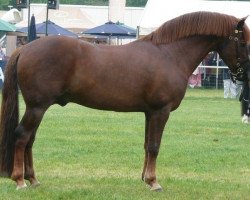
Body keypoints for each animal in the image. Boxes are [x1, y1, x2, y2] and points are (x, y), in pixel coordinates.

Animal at [0, 11, 250, 191]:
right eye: (244, 43)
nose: (244, 74)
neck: (170, 54)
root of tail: (25, 48)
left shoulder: (150, 113)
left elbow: (148, 145)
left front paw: (145, 179)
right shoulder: (160, 111)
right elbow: (155, 146)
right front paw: (153, 182)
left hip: (37, 108)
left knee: (30, 140)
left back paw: (33, 179)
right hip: (37, 107)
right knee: (22, 136)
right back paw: (20, 180)